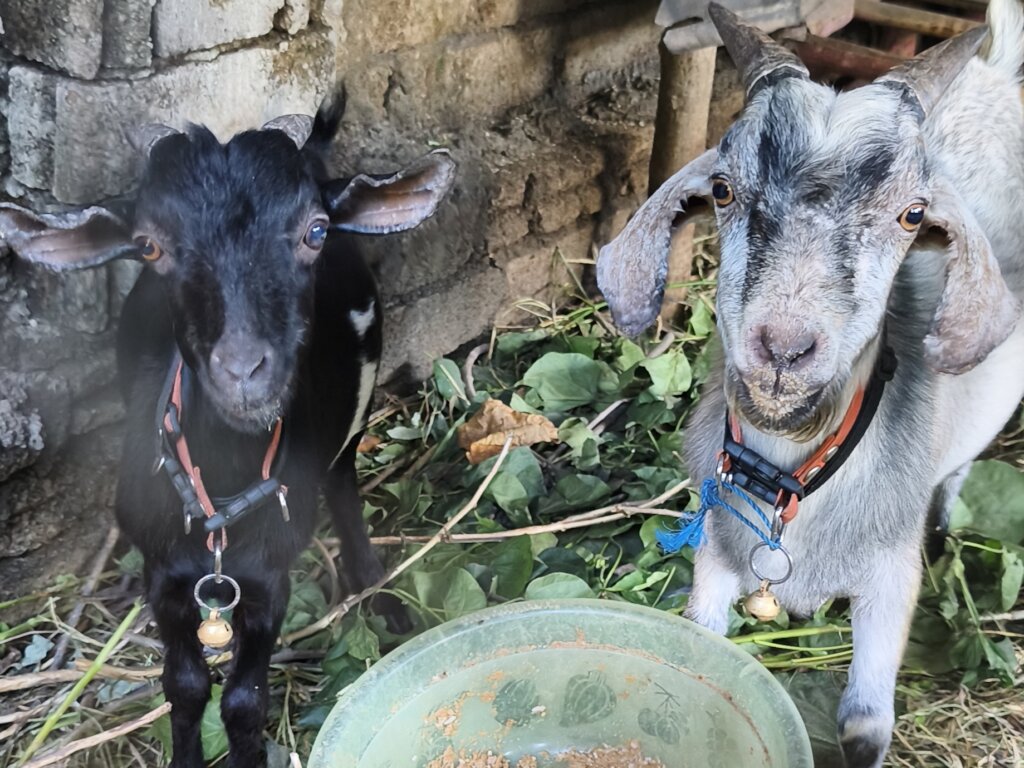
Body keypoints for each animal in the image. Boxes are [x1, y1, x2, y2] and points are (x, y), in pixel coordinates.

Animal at [0, 99, 455, 767]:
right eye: (148, 245)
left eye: (315, 230)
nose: (243, 372)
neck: (219, 493)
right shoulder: (165, 572)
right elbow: (184, 686)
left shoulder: (268, 578)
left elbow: (244, 700)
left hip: (357, 411)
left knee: (345, 486)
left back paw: (382, 599)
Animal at [597, 2, 1024, 766]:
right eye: (723, 189)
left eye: (913, 214)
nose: (784, 349)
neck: (797, 474)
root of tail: (992, 74)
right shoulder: (716, 554)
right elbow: (700, 647)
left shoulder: (890, 578)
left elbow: (864, 726)